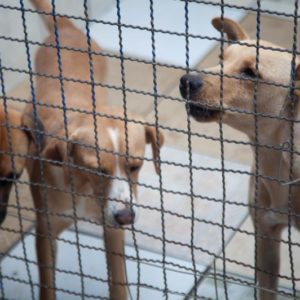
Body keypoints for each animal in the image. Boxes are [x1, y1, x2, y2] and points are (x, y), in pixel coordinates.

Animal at [27, 0, 164, 300]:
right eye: (96, 170)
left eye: (136, 166)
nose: (126, 217)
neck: (82, 186)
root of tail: (66, 28)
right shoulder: (45, 231)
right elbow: (46, 284)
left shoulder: (113, 233)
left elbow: (119, 284)